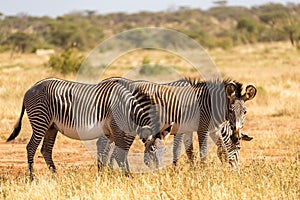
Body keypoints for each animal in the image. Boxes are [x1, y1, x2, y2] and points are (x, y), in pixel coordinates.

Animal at [5, 77, 162, 179]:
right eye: (153, 150)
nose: (159, 174)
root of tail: (31, 87)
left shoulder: (110, 133)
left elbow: (105, 153)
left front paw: (104, 175)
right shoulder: (116, 129)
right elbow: (119, 154)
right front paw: (127, 176)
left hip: (51, 127)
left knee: (46, 150)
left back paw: (56, 176)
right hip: (40, 121)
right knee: (31, 147)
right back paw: (32, 177)